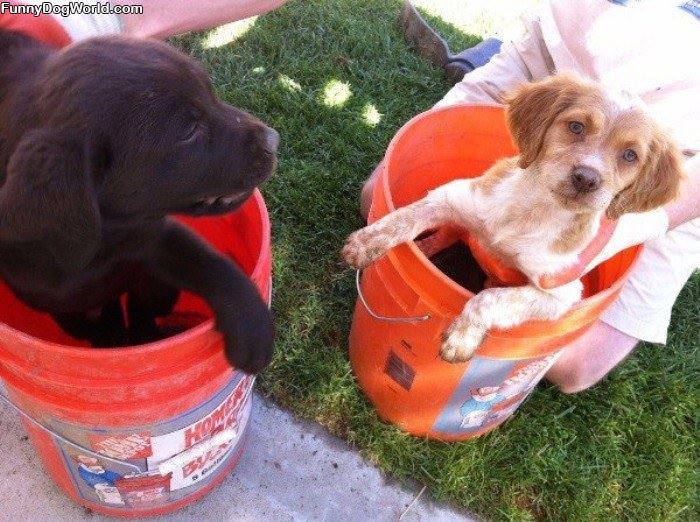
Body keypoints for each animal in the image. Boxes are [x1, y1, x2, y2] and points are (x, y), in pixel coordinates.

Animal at [344, 74, 684, 362]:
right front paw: (365, 243)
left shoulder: (560, 296)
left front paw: (462, 338)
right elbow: (403, 218)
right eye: (576, 126)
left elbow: (490, 298)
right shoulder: (454, 197)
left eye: (630, 156)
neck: (532, 211)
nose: (586, 179)